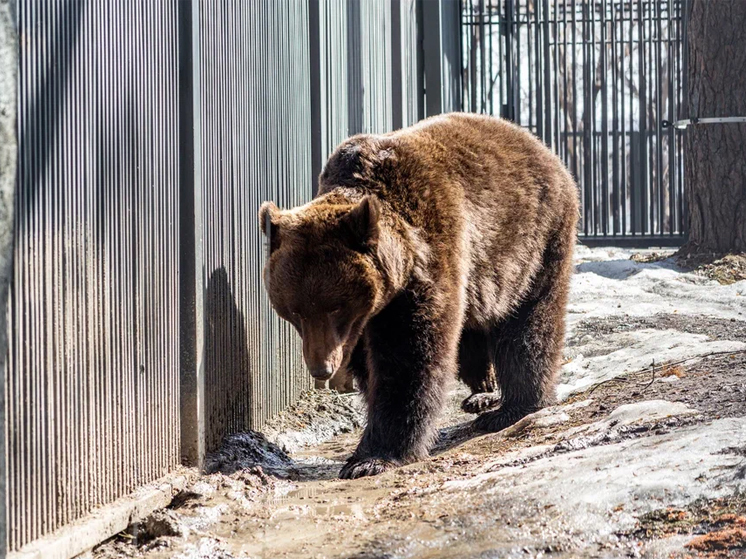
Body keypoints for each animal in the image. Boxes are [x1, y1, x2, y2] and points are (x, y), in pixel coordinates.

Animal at [258, 111, 580, 480]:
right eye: (294, 311)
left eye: (335, 307)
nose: (321, 368)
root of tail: (540, 146)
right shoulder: (366, 317)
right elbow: (371, 364)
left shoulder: (429, 259)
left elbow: (410, 357)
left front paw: (371, 457)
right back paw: (483, 391)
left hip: (534, 242)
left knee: (529, 322)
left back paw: (513, 406)